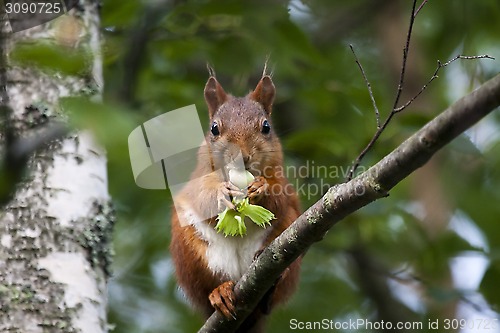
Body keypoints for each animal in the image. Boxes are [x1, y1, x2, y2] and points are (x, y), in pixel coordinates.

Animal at [171, 70, 300, 332]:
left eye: (266, 126)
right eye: (214, 129)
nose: (242, 156)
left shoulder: (284, 184)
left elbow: (279, 198)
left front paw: (261, 188)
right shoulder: (197, 179)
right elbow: (202, 196)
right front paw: (220, 193)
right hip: (194, 256)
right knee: (210, 288)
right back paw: (219, 293)